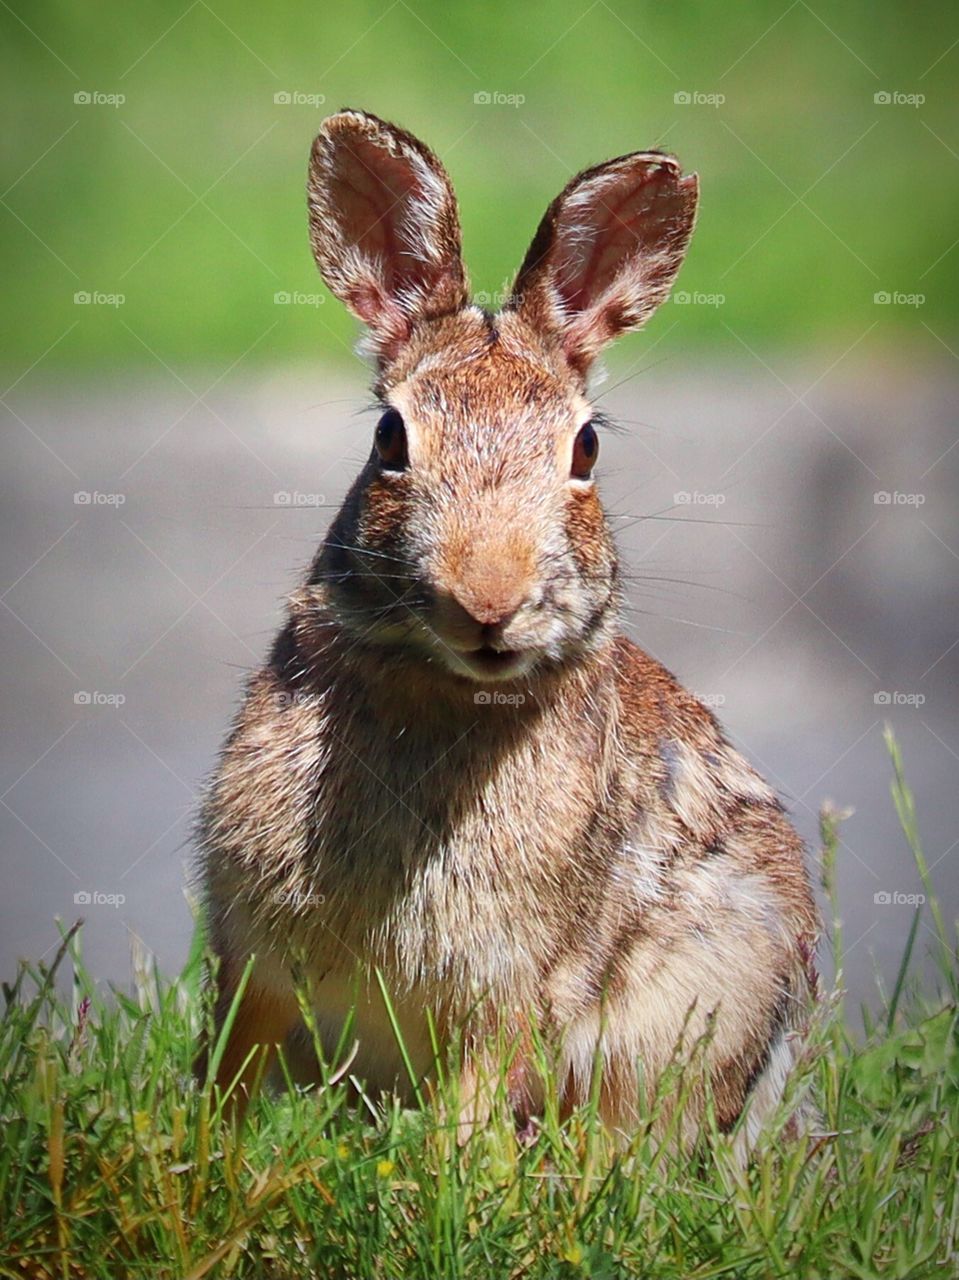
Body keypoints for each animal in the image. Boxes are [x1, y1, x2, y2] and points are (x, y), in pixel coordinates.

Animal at [197, 108, 819, 1146]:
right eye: (389, 439)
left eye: (586, 448)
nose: (487, 599)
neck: (446, 694)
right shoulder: (254, 955)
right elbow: (232, 1065)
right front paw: (207, 1150)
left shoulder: (518, 989)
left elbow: (479, 1091)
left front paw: (453, 1166)